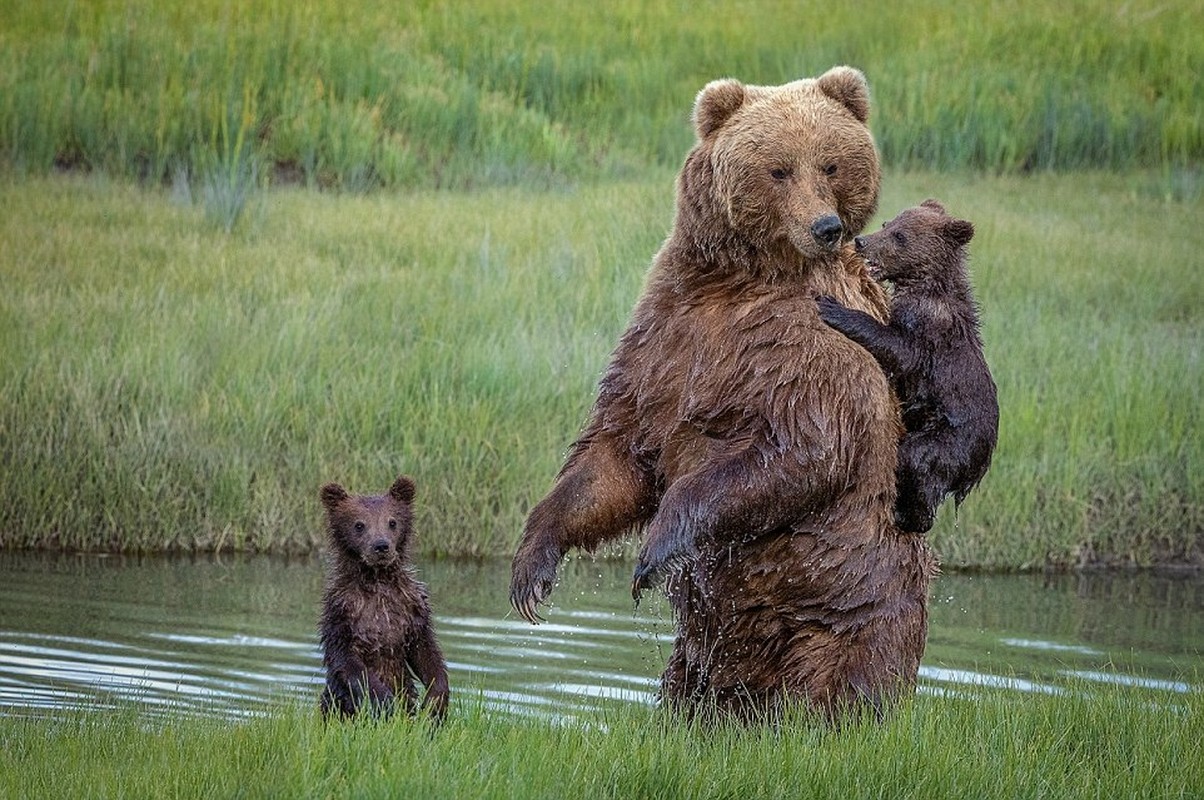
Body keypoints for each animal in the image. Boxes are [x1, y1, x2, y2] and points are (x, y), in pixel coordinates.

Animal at [317, 477, 450, 722]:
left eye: (392, 522)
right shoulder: (342, 613)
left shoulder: (413, 610)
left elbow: (426, 653)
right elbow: (348, 662)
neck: (378, 580)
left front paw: (435, 702)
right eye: (359, 524)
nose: (381, 546)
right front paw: (386, 701)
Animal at [512, 65, 934, 722]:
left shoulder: (813, 344)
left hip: (847, 603)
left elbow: (801, 450)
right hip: (703, 651)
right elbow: (617, 452)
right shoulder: (668, 334)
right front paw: (533, 567)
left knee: (842, 680)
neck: (741, 280)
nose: (826, 227)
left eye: (831, 164)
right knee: (692, 686)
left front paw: (654, 549)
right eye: (779, 168)